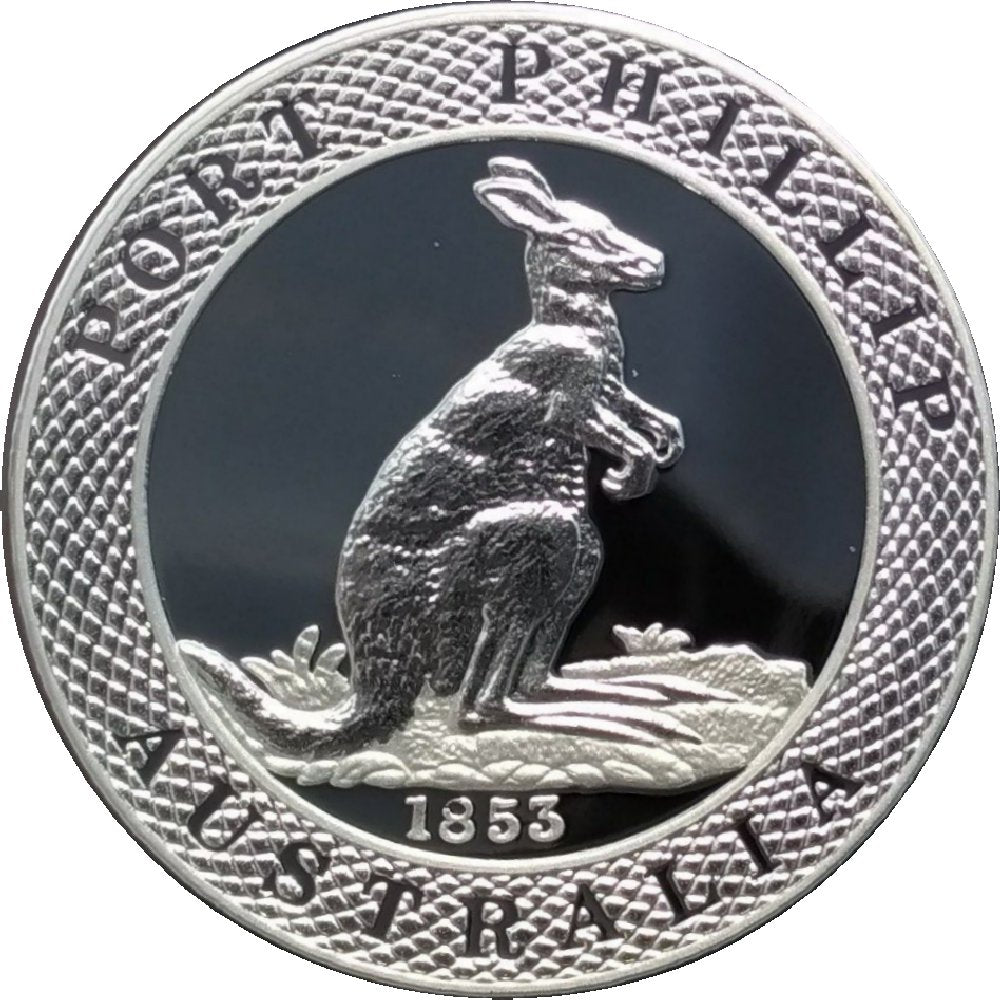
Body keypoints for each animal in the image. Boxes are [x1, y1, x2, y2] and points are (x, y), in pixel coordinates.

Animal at [190, 156, 687, 754]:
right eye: (593, 236)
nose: (657, 263)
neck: (574, 326)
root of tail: (373, 683)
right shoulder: (566, 391)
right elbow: (593, 423)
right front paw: (630, 473)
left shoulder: (608, 386)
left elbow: (636, 410)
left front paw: (665, 441)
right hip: (510, 552)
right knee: (479, 703)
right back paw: (596, 719)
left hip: (564, 559)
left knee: (535, 666)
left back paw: (626, 694)